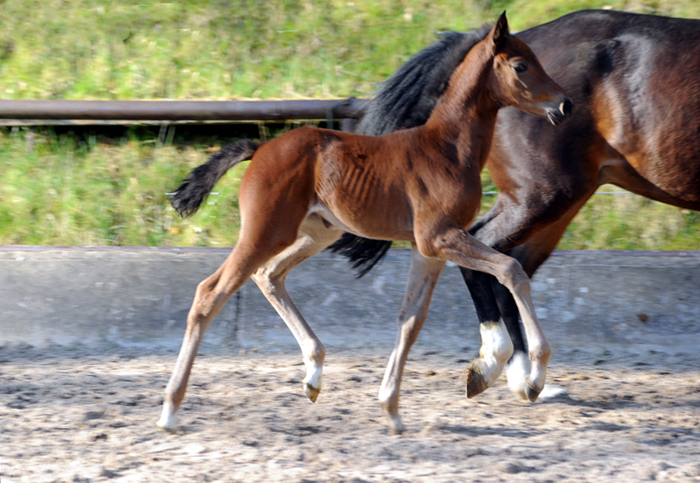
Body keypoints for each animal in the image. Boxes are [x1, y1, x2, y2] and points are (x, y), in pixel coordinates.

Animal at [157, 12, 568, 434]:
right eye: (520, 66)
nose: (564, 104)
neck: (447, 149)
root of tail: (261, 148)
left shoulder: (429, 248)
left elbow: (411, 320)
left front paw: (392, 409)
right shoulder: (440, 238)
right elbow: (512, 269)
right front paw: (534, 378)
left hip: (318, 232)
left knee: (268, 275)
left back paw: (313, 375)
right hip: (265, 231)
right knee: (211, 293)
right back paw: (170, 409)